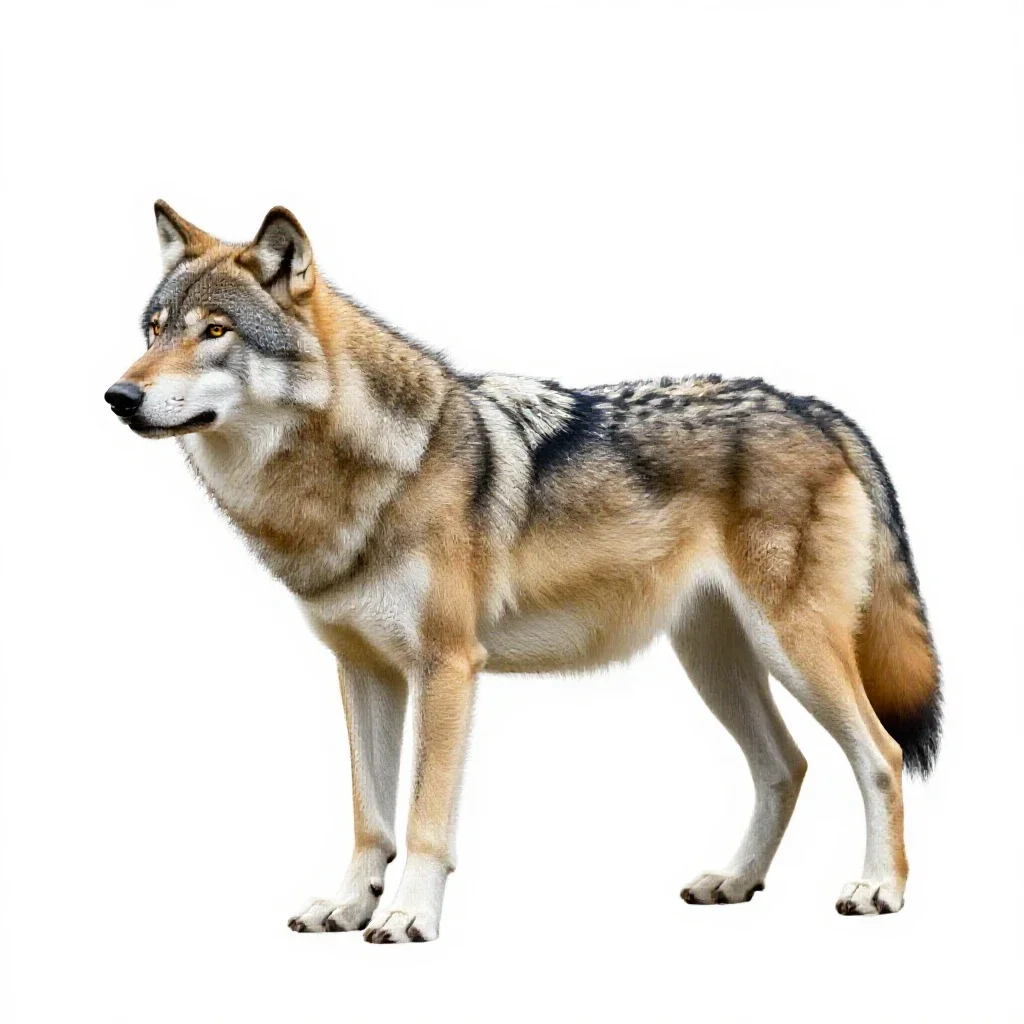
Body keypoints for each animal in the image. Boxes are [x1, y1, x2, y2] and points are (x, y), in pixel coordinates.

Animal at [105, 202, 941, 942]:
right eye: (153, 330)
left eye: (215, 332)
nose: (119, 395)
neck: (360, 475)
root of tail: (811, 406)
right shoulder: (362, 670)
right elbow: (370, 818)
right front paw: (346, 906)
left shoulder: (446, 666)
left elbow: (424, 818)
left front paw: (407, 917)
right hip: (716, 661)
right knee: (785, 766)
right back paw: (735, 880)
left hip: (792, 652)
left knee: (882, 755)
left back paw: (880, 889)